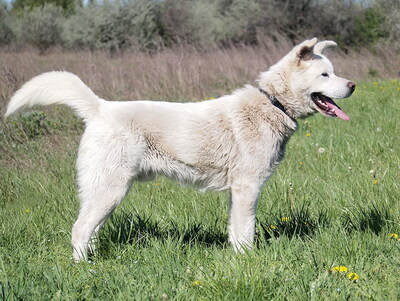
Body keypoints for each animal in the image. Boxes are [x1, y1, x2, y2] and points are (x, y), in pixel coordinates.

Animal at [5, 38, 356, 260]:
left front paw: (238, 257)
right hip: (110, 190)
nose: (353, 85)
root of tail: (100, 108)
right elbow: (246, 230)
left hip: (104, 193)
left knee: (88, 231)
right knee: (79, 230)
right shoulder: (248, 187)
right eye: (325, 74)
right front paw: (249, 260)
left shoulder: (237, 192)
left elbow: (235, 230)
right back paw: (86, 269)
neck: (272, 103)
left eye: (334, 71)